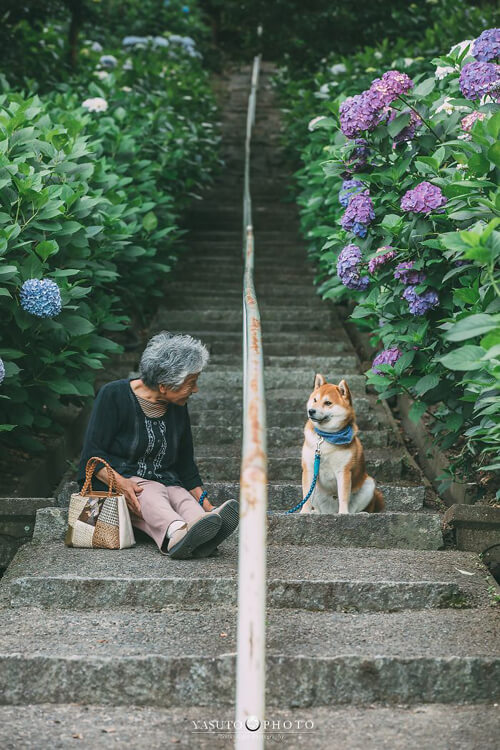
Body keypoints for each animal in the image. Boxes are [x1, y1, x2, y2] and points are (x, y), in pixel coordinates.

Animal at [298, 374, 384, 516]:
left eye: (328, 403)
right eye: (315, 400)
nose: (311, 411)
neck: (326, 437)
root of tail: (330, 511)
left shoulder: (343, 471)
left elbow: (343, 496)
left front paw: (343, 513)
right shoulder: (309, 468)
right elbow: (306, 496)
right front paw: (304, 512)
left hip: (369, 484)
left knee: (354, 508)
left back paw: (359, 513)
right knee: (318, 506)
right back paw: (315, 512)